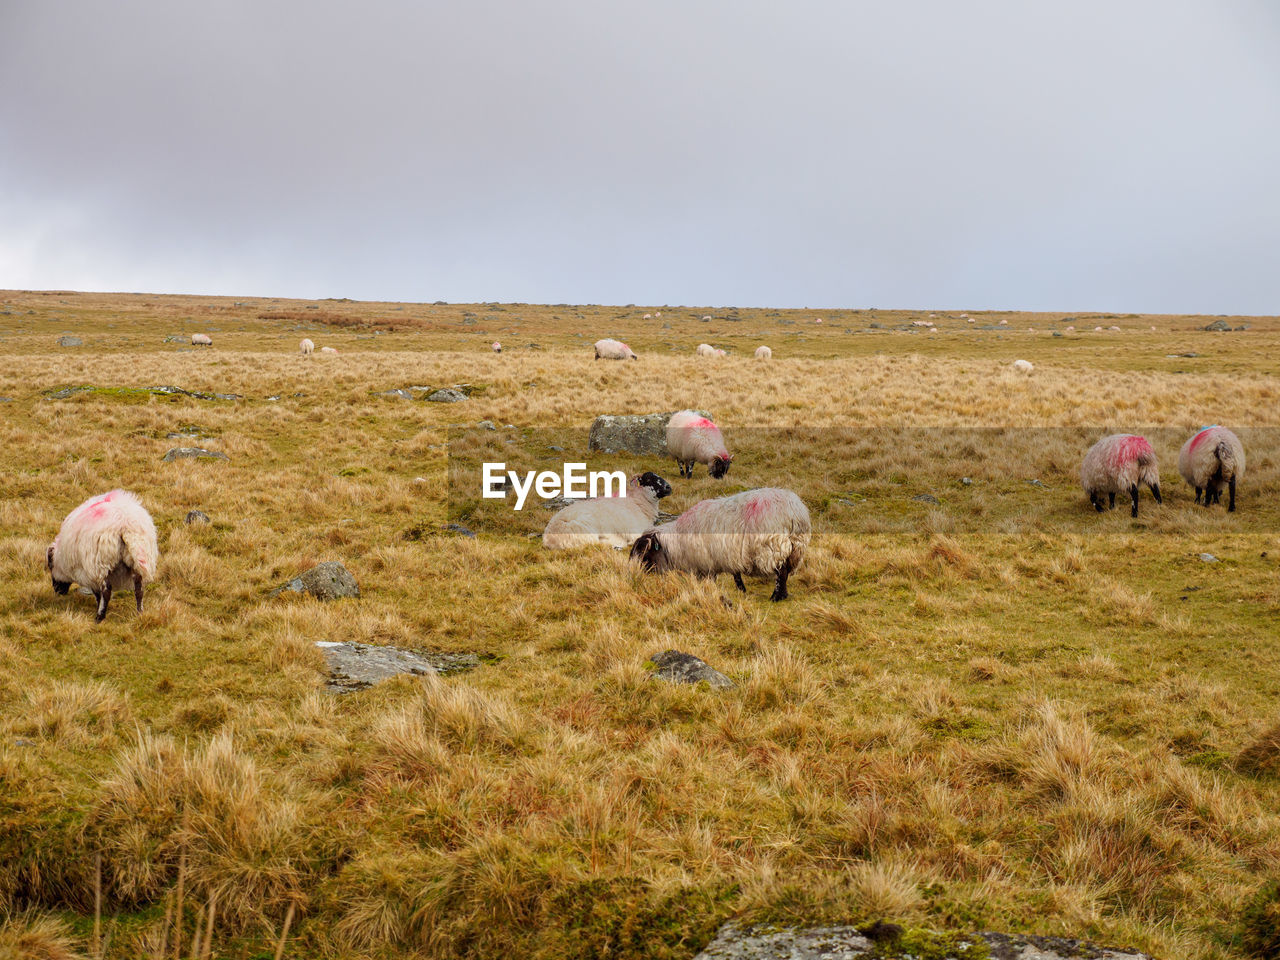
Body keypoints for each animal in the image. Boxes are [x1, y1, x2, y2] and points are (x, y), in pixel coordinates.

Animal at [47, 488, 158, 624]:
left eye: (51, 567)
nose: (57, 590)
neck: (61, 557)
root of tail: (124, 523)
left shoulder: (87, 573)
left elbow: (97, 593)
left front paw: (99, 607)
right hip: (137, 556)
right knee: (139, 588)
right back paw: (139, 612)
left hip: (99, 562)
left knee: (106, 590)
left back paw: (99, 617)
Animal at [629, 488, 808, 601]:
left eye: (643, 551)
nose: (634, 572)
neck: (676, 544)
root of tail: (795, 512)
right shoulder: (730, 558)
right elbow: (736, 577)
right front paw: (742, 592)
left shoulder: (707, 563)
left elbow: (715, 580)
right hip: (795, 549)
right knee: (785, 572)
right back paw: (783, 595)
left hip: (773, 547)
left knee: (781, 573)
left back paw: (776, 597)